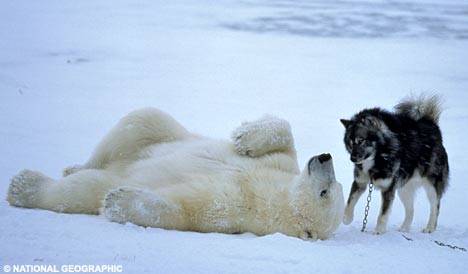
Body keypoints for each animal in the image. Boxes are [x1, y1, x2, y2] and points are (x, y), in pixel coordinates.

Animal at [6, 107, 344, 240]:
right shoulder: (282, 166)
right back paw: (73, 165)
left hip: (110, 176)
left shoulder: (237, 207)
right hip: (154, 134)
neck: (274, 193)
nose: (325, 157)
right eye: (336, 185)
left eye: (326, 191)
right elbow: (285, 136)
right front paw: (244, 137)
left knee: (83, 188)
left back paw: (24, 186)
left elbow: (186, 207)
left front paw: (118, 202)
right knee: (140, 121)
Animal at [340, 96, 450, 233]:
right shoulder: (360, 182)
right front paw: (346, 218)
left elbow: (383, 214)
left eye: (361, 140)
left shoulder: (388, 188)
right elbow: (350, 202)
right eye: (350, 142)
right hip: (404, 189)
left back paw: (430, 228)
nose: (352, 158)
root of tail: (432, 125)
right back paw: (404, 228)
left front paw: (379, 231)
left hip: (431, 186)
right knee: (411, 210)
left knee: (435, 207)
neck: (378, 159)